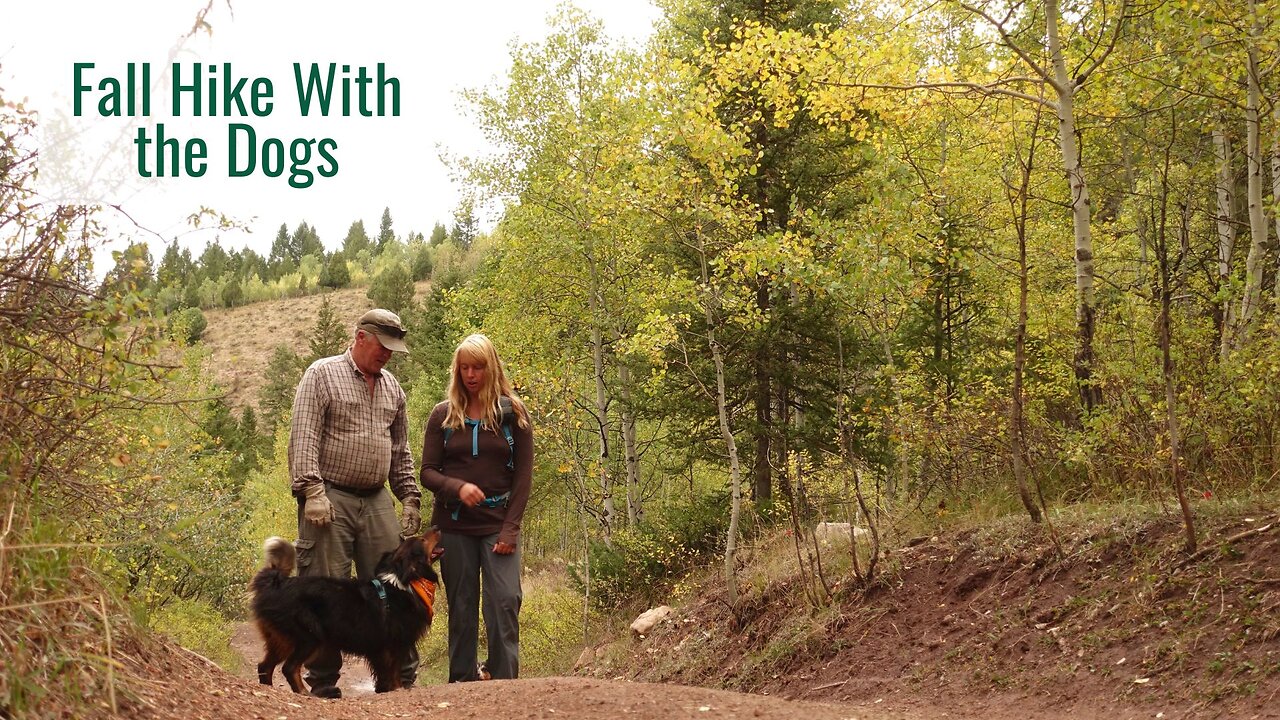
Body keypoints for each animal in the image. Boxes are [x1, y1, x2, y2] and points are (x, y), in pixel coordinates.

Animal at [249, 530, 445, 691]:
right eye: (422, 539)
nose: (437, 527)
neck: (408, 583)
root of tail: (276, 582)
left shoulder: (380, 648)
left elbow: (385, 675)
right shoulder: (394, 644)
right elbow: (394, 673)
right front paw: (396, 690)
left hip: (281, 640)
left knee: (264, 666)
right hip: (309, 637)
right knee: (289, 668)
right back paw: (304, 693)